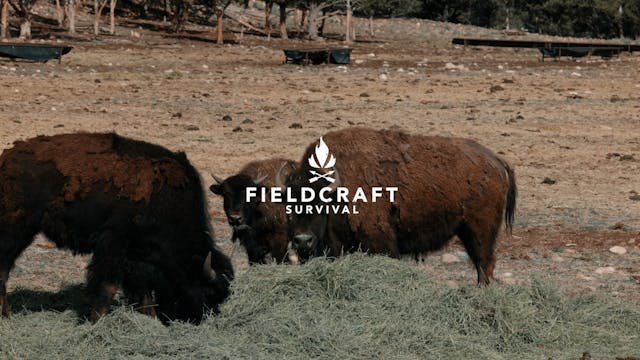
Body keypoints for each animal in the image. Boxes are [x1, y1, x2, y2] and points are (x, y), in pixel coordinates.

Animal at [0, 132, 235, 324]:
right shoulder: (114, 245)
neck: (167, 198)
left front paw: (151, 321)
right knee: (3, 271)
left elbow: (142, 292)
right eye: (208, 292)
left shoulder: (137, 256)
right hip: (16, 231)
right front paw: (95, 322)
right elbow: (108, 286)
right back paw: (7, 317)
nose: (201, 319)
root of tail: (7, 160)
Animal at [280, 127, 516, 284]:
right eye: (288, 206)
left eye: (320, 203)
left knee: (484, 262)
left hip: (479, 230)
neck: (337, 193)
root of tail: (495, 160)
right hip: (466, 231)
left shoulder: (381, 242)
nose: (303, 241)